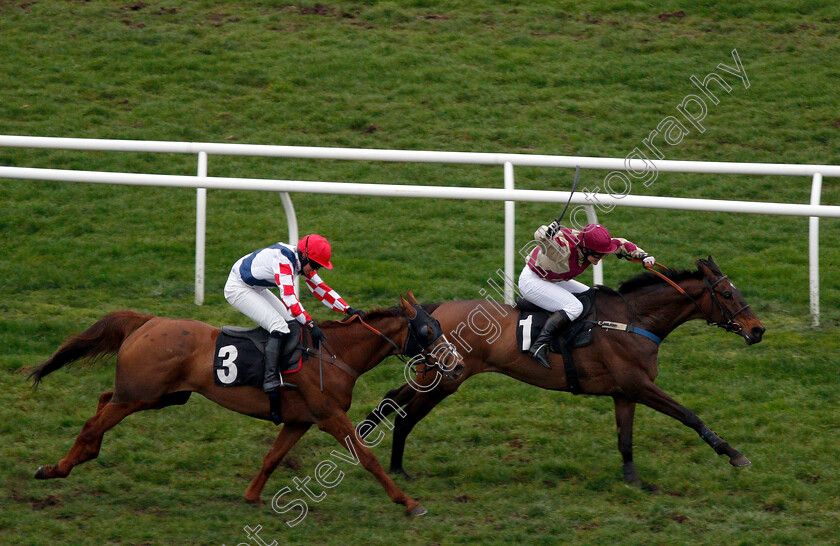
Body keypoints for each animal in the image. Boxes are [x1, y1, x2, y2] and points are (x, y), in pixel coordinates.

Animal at [27, 292, 460, 512]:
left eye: (439, 325)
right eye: (426, 330)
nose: (455, 363)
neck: (335, 353)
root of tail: (149, 321)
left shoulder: (300, 420)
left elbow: (272, 457)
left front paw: (252, 495)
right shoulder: (329, 415)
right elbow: (367, 458)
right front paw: (408, 502)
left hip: (160, 396)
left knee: (104, 401)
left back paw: (80, 456)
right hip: (143, 393)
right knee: (93, 423)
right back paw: (56, 468)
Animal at [364, 258, 764, 486]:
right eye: (728, 294)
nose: (758, 329)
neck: (633, 320)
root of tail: (434, 312)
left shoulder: (624, 391)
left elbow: (625, 439)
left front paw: (633, 480)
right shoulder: (638, 383)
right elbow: (688, 415)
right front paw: (732, 453)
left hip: (437, 376)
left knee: (393, 400)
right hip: (445, 380)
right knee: (403, 415)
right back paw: (394, 467)